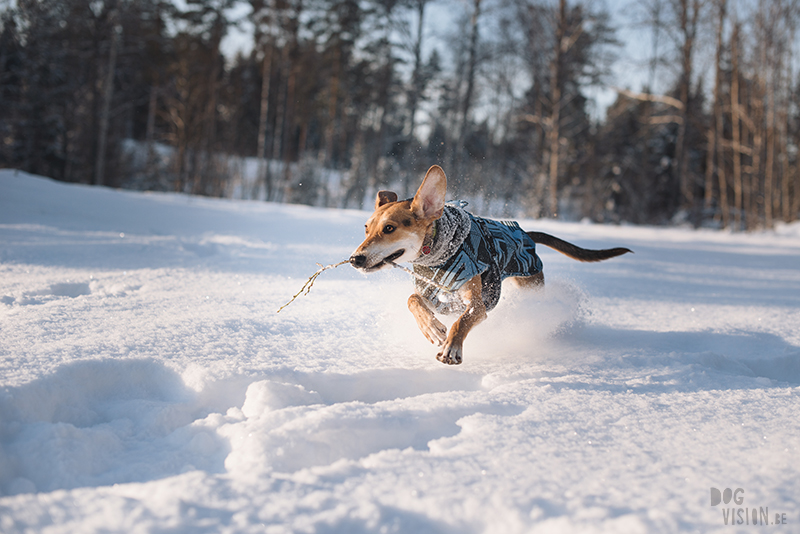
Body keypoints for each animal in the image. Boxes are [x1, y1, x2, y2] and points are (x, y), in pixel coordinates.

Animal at [350, 165, 632, 366]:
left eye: (389, 228)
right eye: (366, 228)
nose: (355, 259)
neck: (439, 256)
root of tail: (527, 234)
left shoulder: (477, 305)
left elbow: (461, 322)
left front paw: (452, 347)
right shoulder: (437, 296)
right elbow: (413, 300)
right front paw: (432, 329)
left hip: (531, 287)